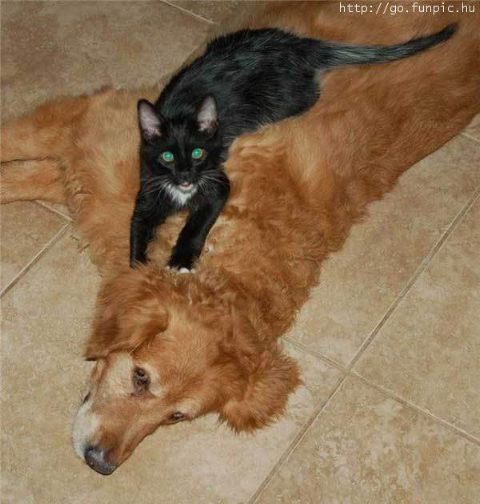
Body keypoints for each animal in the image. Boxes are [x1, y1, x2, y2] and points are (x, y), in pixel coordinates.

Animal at [130, 25, 454, 270]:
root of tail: (295, 44)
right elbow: (137, 228)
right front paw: (139, 268)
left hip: (283, 99)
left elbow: (195, 224)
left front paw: (180, 261)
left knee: (312, 93)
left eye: (198, 153)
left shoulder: (218, 184)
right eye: (167, 156)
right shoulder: (148, 188)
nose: (185, 176)